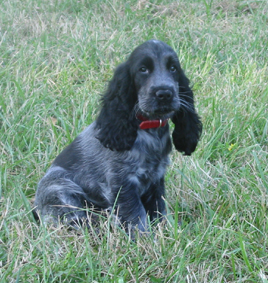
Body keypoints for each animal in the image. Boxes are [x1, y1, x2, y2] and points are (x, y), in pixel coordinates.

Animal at [34, 40, 202, 235]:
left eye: (173, 68)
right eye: (143, 69)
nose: (165, 94)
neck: (149, 129)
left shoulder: (156, 179)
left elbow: (158, 208)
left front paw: (164, 230)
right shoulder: (122, 182)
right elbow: (135, 215)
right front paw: (145, 239)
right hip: (60, 188)